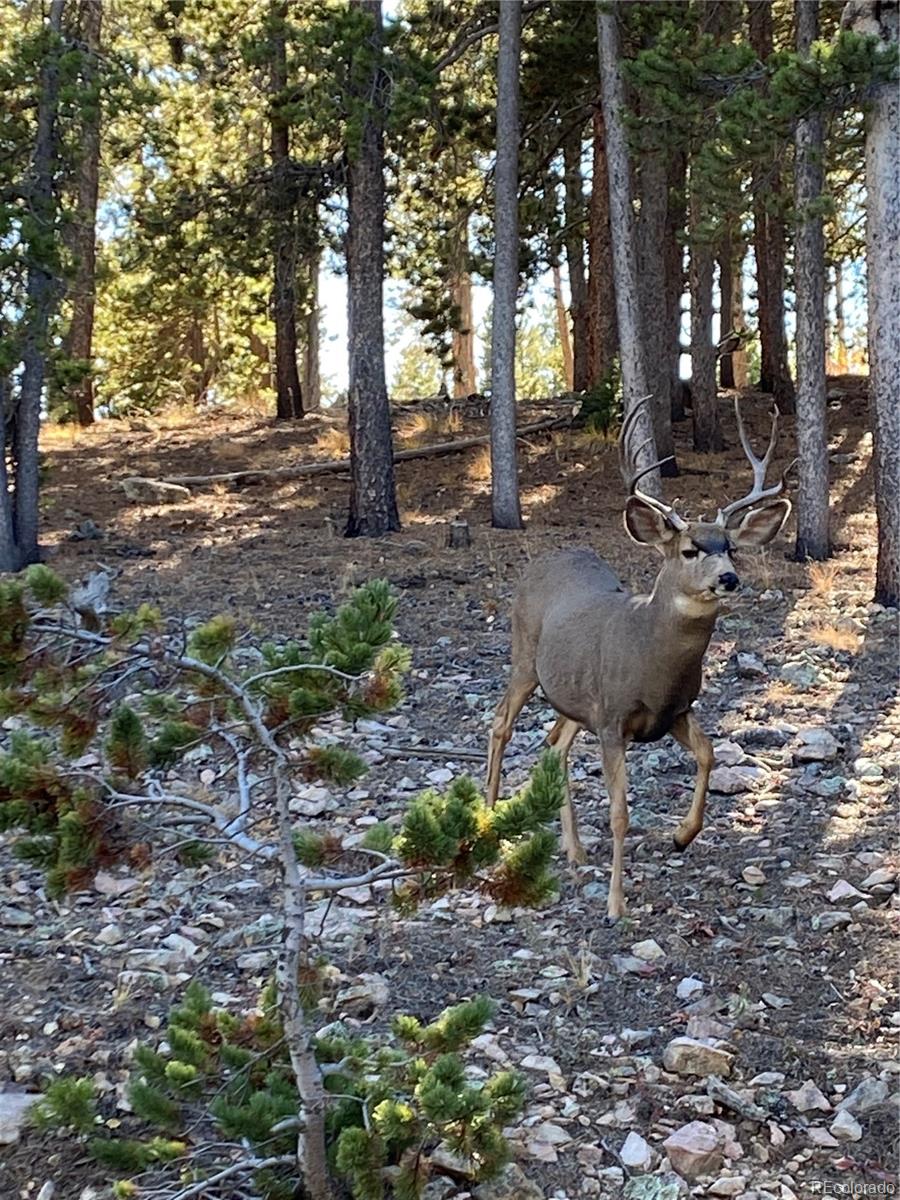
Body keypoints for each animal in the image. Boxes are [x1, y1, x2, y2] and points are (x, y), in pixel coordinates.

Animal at [489, 398, 792, 921]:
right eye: (690, 550)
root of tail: (545, 559)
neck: (652, 659)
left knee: (554, 744)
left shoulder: (675, 711)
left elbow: (709, 754)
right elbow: (619, 813)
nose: (729, 578)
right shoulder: (613, 719)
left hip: (574, 697)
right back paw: (488, 818)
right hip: (525, 658)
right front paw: (615, 904)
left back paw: (573, 848)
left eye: (730, 548)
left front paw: (682, 835)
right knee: (501, 724)